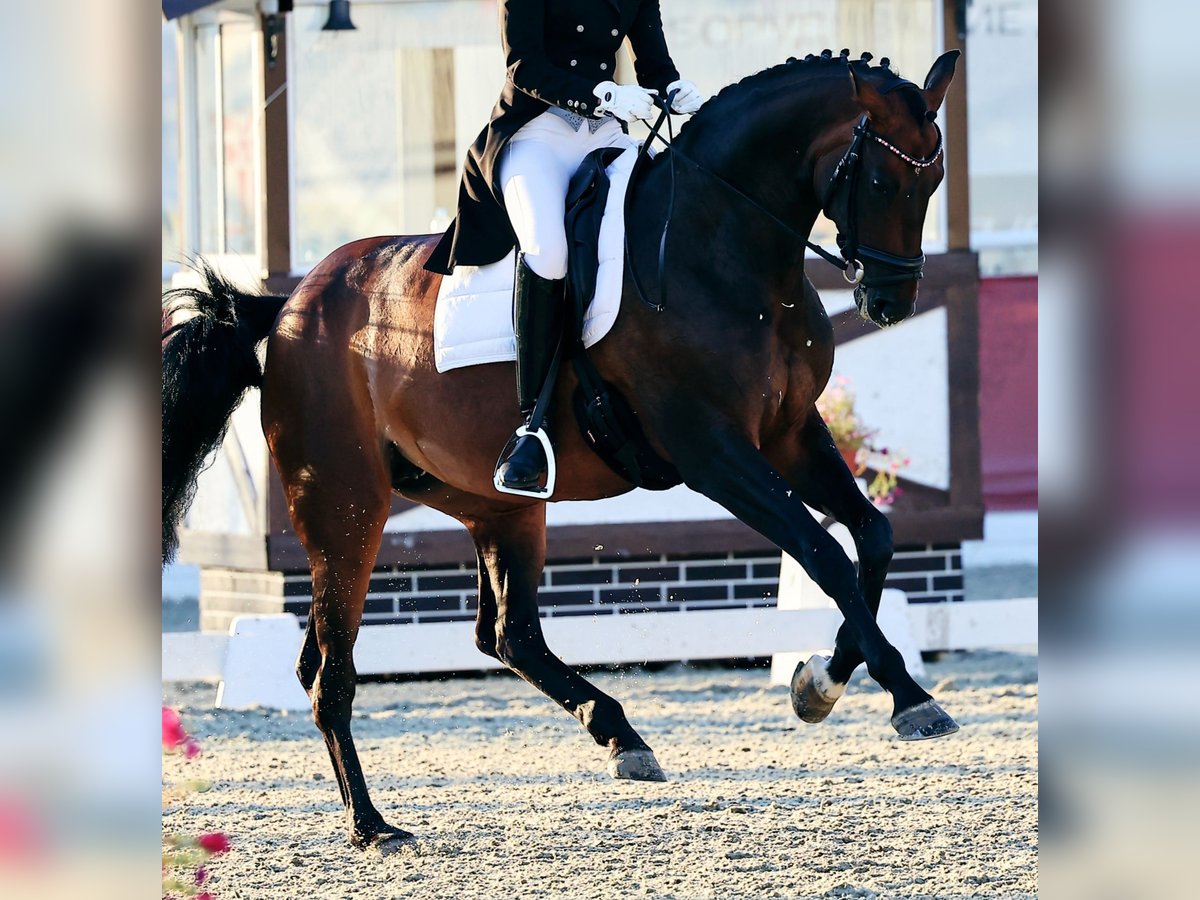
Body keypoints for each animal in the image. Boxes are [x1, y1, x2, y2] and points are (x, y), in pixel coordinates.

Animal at [162, 51, 964, 854]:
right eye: (883, 182)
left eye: (933, 184)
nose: (889, 303)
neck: (723, 243)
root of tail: (287, 307)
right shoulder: (715, 452)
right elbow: (824, 553)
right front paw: (903, 694)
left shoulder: (790, 434)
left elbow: (873, 536)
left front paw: (821, 681)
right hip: (344, 504)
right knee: (335, 669)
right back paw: (374, 826)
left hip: (493, 503)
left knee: (504, 635)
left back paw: (619, 735)